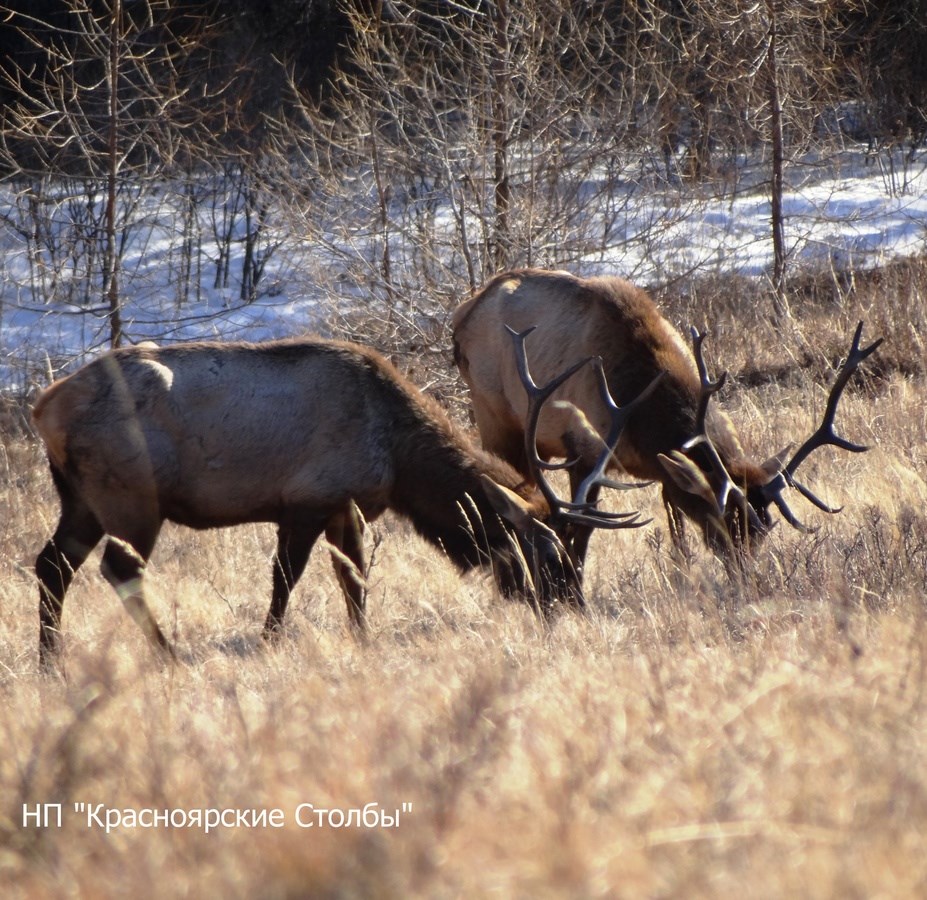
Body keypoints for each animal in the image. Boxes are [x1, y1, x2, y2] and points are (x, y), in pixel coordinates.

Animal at [454, 268, 880, 572]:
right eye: (721, 526)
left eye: (762, 533)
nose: (749, 580)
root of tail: (460, 315)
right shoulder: (584, 450)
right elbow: (582, 529)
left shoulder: (662, 471)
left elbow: (675, 526)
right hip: (494, 415)